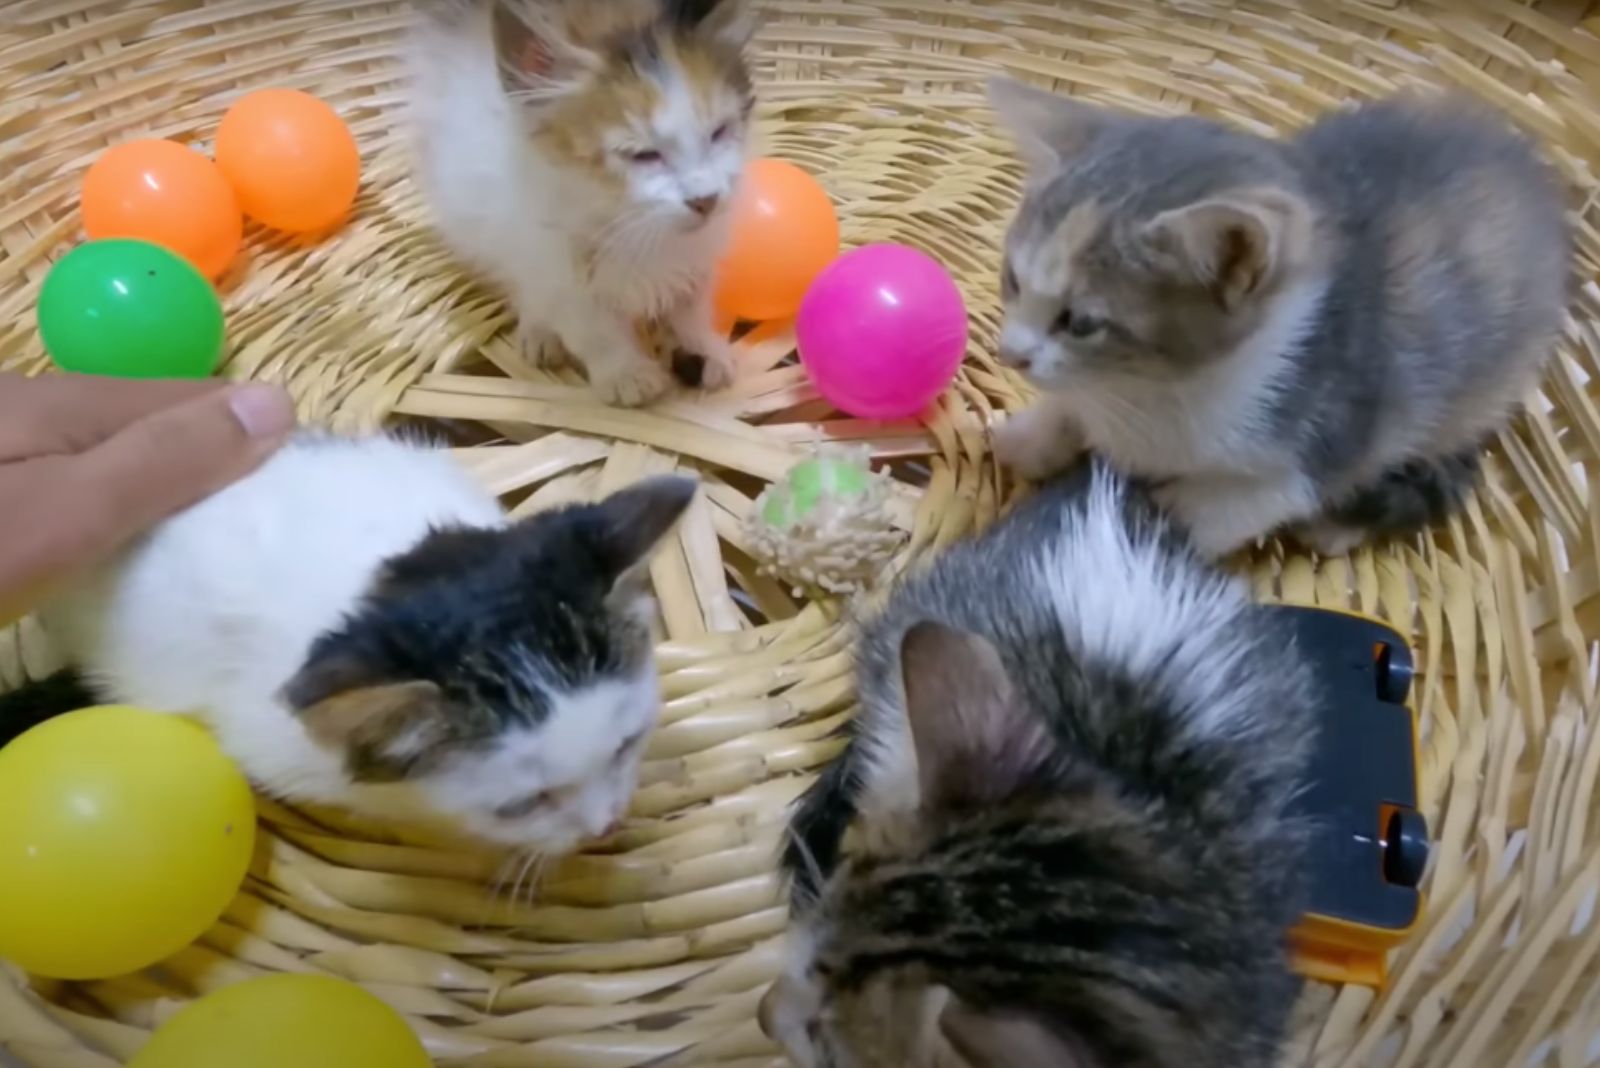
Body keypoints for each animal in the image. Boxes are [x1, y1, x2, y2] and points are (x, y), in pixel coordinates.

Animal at [412, 0, 761, 406]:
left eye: (719, 133)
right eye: (643, 155)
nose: (705, 199)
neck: (628, 221)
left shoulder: (698, 259)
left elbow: (691, 307)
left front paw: (705, 348)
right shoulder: (556, 268)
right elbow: (593, 328)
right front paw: (627, 375)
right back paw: (538, 332)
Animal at [985, 81, 1561, 559]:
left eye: (1081, 323)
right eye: (1013, 279)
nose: (1010, 354)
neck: (1151, 389)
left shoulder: (1346, 419)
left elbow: (1270, 494)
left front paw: (1179, 519)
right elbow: (1069, 407)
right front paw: (1030, 437)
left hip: (1472, 393)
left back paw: (1334, 529)